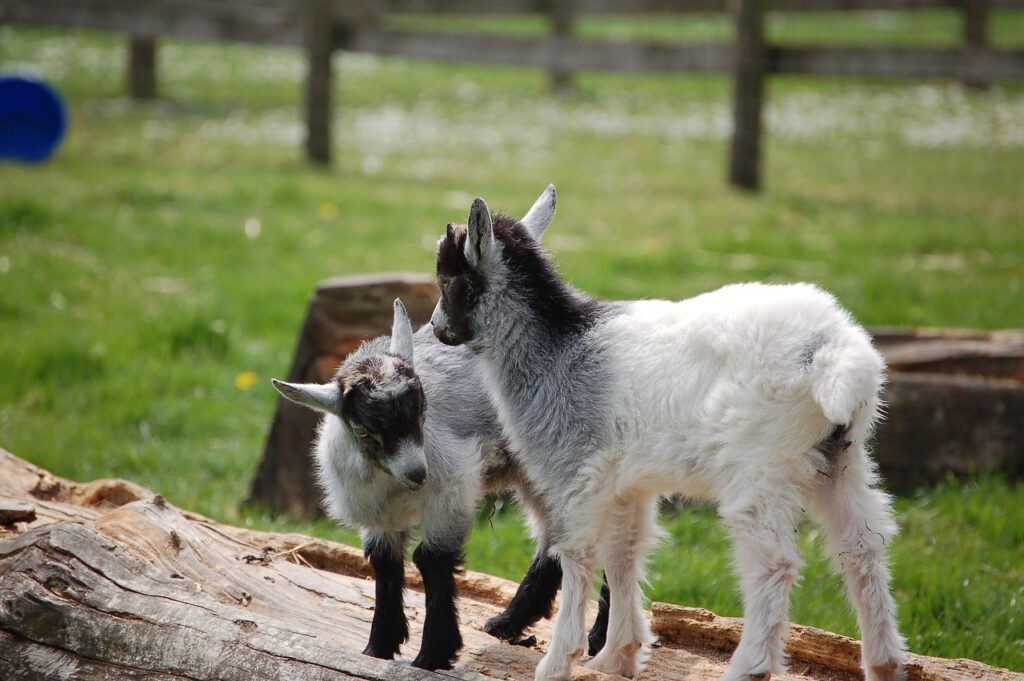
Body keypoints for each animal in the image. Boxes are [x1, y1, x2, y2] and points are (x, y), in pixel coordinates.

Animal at [271, 188, 609, 671]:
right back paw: (508, 622)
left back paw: (597, 639)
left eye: (423, 411)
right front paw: (379, 646)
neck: (392, 483)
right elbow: (384, 564)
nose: (418, 473)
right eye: (365, 429)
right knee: (557, 536)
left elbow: (430, 559)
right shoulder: (376, 516)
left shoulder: (451, 488)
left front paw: (432, 653)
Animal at [430, 192, 906, 681]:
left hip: (762, 463)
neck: (559, 350)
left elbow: (577, 555)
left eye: (448, 279)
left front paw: (559, 660)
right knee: (862, 547)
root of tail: (833, 352)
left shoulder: (576, 475)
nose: (438, 330)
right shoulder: (626, 485)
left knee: (774, 564)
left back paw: (749, 666)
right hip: (843, 458)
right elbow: (624, 553)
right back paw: (884, 663)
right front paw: (619, 654)